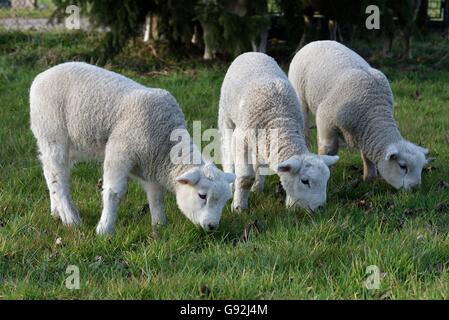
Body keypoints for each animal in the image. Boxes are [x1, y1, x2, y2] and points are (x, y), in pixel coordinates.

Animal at [29, 62, 234, 235]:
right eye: (202, 196)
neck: (164, 144)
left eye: (225, 200)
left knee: (49, 172)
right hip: (53, 135)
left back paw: (56, 212)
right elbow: (113, 193)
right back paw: (71, 219)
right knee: (58, 178)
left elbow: (156, 196)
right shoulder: (119, 152)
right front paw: (104, 230)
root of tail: (40, 77)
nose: (212, 226)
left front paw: (159, 225)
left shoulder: (150, 166)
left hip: (66, 143)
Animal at [219, 52, 338, 212]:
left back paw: (257, 187)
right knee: (226, 148)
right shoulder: (241, 139)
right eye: (305, 181)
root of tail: (253, 53)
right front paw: (239, 208)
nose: (320, 208)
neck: (280, 119)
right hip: (225, 114)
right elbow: (245, 179)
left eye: (326, 180)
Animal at [288, 41, 428, 189]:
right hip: (299, 95)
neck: (374, 110)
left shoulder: (364, 131)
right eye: (402, 166)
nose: (415, 188)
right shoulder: (325, 119)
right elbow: (328, 150)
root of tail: (314, 42)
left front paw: (369, 178)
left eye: (421, 167)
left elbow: (366, 155)